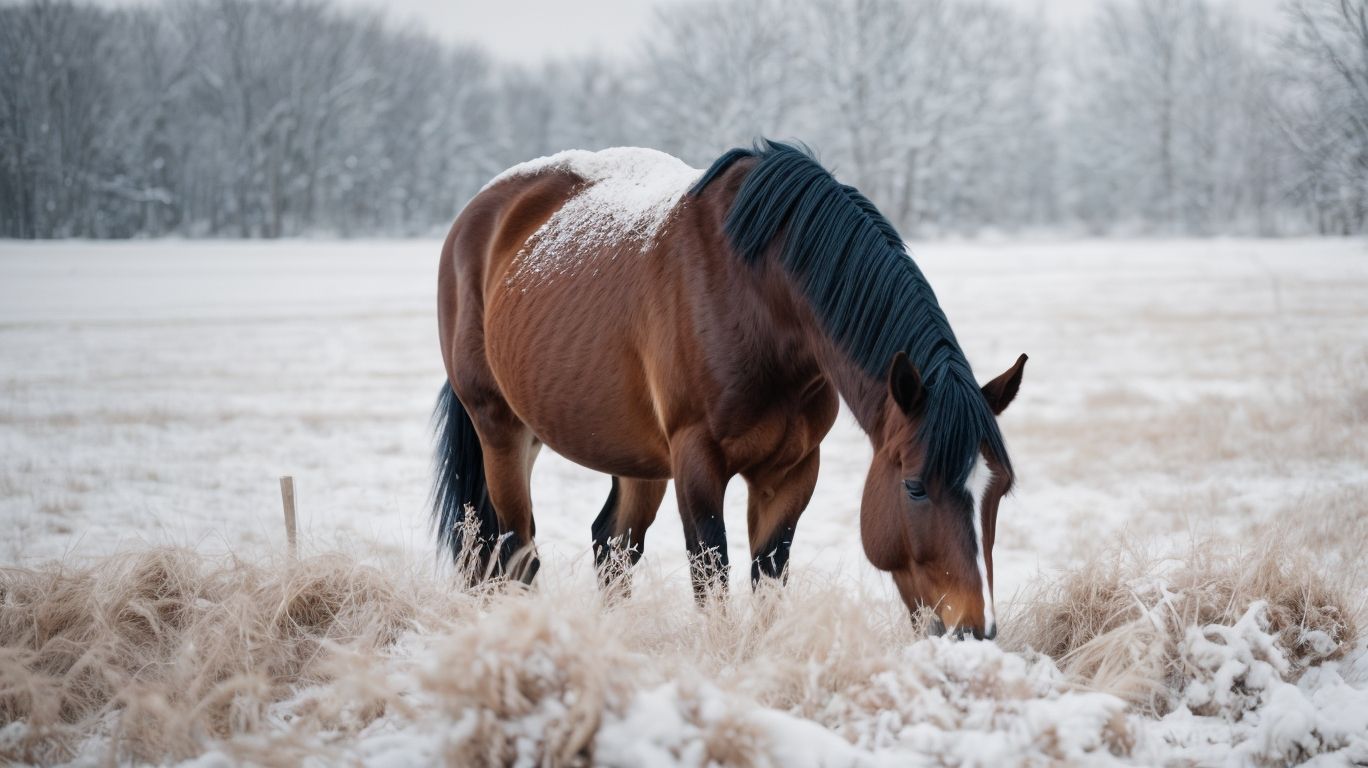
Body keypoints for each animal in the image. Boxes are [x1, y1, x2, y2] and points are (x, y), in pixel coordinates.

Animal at [432, 139, 1026, 639]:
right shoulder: (697, 461)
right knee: (516, 552)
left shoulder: (792, 470)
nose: (974, 629)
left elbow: (768, 579)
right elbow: (711, 576)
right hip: (501, 430)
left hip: (635, 457)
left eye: (999, 490)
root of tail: (479, 213)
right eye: (915, 487)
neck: (760, 297)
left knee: (612, 547)